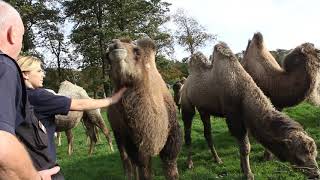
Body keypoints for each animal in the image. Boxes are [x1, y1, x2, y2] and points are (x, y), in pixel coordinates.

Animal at [107, 38, 182, 179]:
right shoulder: (135, 142)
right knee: (126, 159)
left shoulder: (172, 137)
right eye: (106, 57)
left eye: (137, 51)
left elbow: (171, 166)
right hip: (117, 132)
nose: (114, 44)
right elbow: (144, 169)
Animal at [180, 41, 320, 179]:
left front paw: (243, 168)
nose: (316, 173)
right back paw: (189, 163)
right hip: (186, 102)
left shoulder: (244, 116)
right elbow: (245, 147)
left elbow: (243, 145)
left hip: (204, 109)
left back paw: (217, 159)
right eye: (298, 158)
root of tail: (185, 81)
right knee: (188, 132)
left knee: (207, 133)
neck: (241, 90)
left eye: (314, 153)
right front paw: (248, 174)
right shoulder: (233, 116)